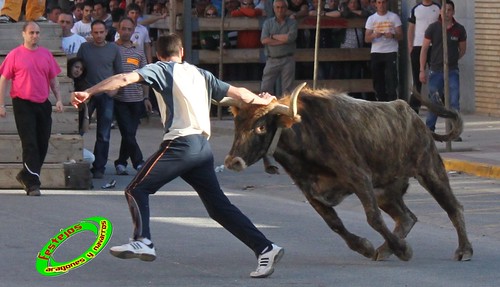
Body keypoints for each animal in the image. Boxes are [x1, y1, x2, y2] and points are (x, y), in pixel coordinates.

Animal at [222, 83, 472, 264]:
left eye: (261, 126)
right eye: (237, 125)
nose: (233, 161)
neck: (306, 136)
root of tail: (414, 117)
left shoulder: (360, 179)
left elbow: (373, 219)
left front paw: (403, 250)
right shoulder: (312, 193)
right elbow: (335, 225)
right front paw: (366, 247)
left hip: (430, 170)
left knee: (453, 208)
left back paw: (464, 250)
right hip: (385, 191)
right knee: (406, 217)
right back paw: (385, 249)